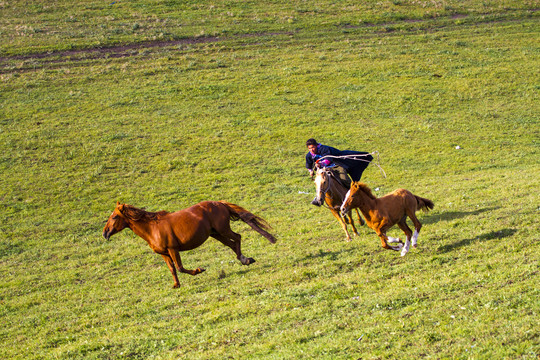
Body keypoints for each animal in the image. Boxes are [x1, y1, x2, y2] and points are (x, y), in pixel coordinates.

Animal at [103, 200, 276, 286]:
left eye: (114, 217)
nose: (105, 233)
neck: (152, 228)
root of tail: (219, 203)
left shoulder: (173, 249)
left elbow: (180, 268)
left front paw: (199, 270)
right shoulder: (164, 254)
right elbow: (172, 269)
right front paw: (176, 285)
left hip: (223, 229)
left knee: (238, 237)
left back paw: (245, 259)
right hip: (216, 234)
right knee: (232, 244)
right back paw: (246, 260)